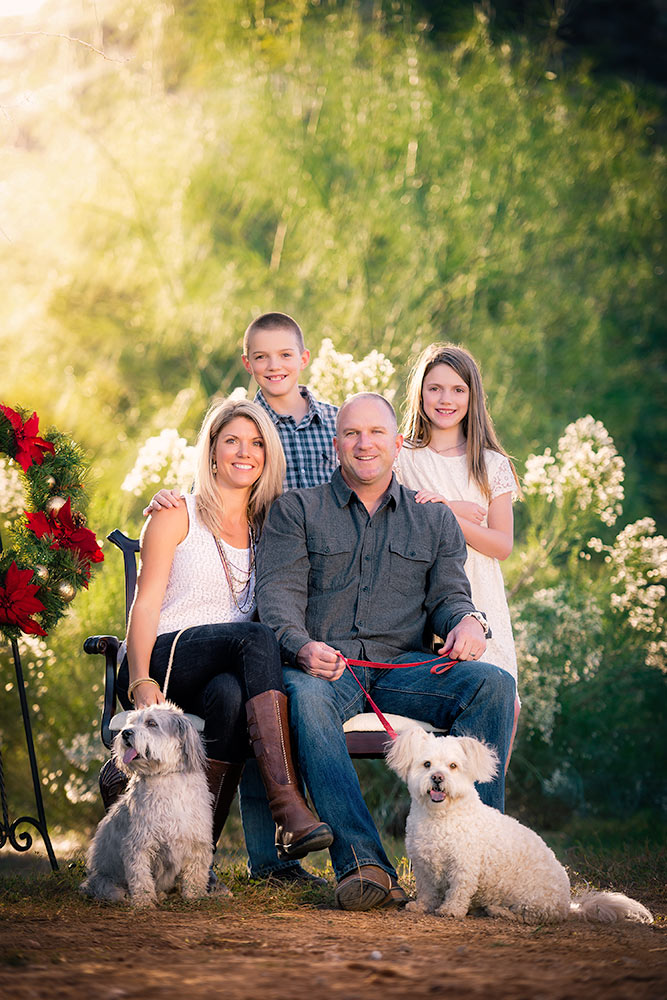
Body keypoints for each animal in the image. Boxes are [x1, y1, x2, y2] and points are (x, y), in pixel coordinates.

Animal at [81, 704, 213, 908]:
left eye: (152, 723)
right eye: (131, 722)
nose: (126, 733)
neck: (166, 777)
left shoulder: (197, 842)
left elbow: (196, 874)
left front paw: (195, 896)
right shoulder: (139, 844)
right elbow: (140, 877)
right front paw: (144, 902)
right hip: (108, 885)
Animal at [388, 728, 656, 928]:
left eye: (453, 766)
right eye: (427, 764)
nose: (437, 777)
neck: (441, 817)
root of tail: (567, 905)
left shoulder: (464, 866)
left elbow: (459, 891)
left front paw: (451, 910)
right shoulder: (423, 865)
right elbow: (427, 891)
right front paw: (421, 907)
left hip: (532, 900)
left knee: (529, 917)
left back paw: (498, 911)